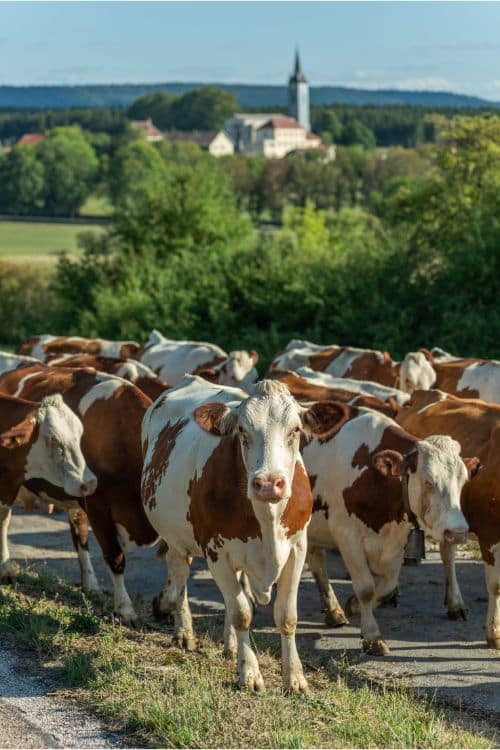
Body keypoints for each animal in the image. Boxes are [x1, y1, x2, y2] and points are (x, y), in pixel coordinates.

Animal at [141, 375, 344, 692]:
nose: (268, 483)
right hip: (175, 536)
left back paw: (231, 645)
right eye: (241, 431)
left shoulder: (297, 548)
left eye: (295, 430)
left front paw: (295, 679)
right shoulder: (216, 552)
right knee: (180, 573)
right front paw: (249, 673)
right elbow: (242, 613)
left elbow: (286, 616)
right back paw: (184, 632)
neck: (267, 519)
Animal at [301, 405, 474, 655]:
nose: (458, 533)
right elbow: (366, 587)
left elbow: (387, 586)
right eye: (428, 481)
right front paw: (373, 636)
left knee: (316, 560)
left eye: (463, 481)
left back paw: (334, 611)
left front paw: (354, 604)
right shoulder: (346, 535)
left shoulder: (397, 540)